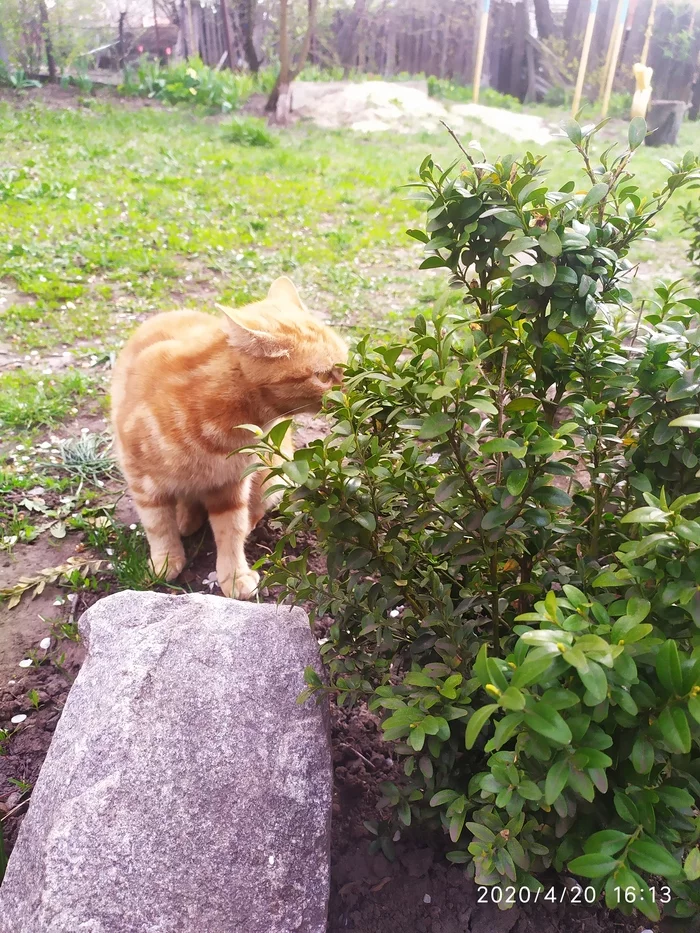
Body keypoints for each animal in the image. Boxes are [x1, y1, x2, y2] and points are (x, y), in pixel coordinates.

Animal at [111, 276, 348, 596]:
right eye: (322, 376)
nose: (353, 389)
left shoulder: (232, 484)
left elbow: (231, 531)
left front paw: (234, 576)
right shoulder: (141, 479)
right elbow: (157, 526)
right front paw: (166, 560)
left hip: (270, 472)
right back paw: (185, 518)